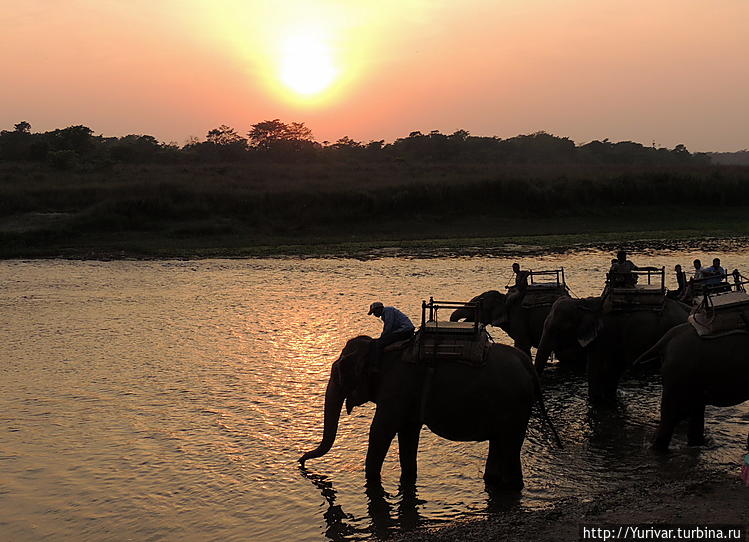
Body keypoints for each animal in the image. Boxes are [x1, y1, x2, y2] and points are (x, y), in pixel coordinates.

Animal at [298, 336, 556, 492]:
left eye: (338, 373)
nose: (300, 460)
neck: (381, 347)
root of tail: (527, 364)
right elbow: (408, 433)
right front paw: (408, 478)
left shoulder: (397, 388)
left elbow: (381, 430)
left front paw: (371, 480)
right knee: (499, 443)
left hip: (514, 407)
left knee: (510, 445)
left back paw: (512, 487)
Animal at [532, 296, 688, 406]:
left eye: (559, 329)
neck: (585, 304)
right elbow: (614, 369)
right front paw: (608, 398)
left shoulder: (604, 336)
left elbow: (594, 368)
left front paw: (595, 401)